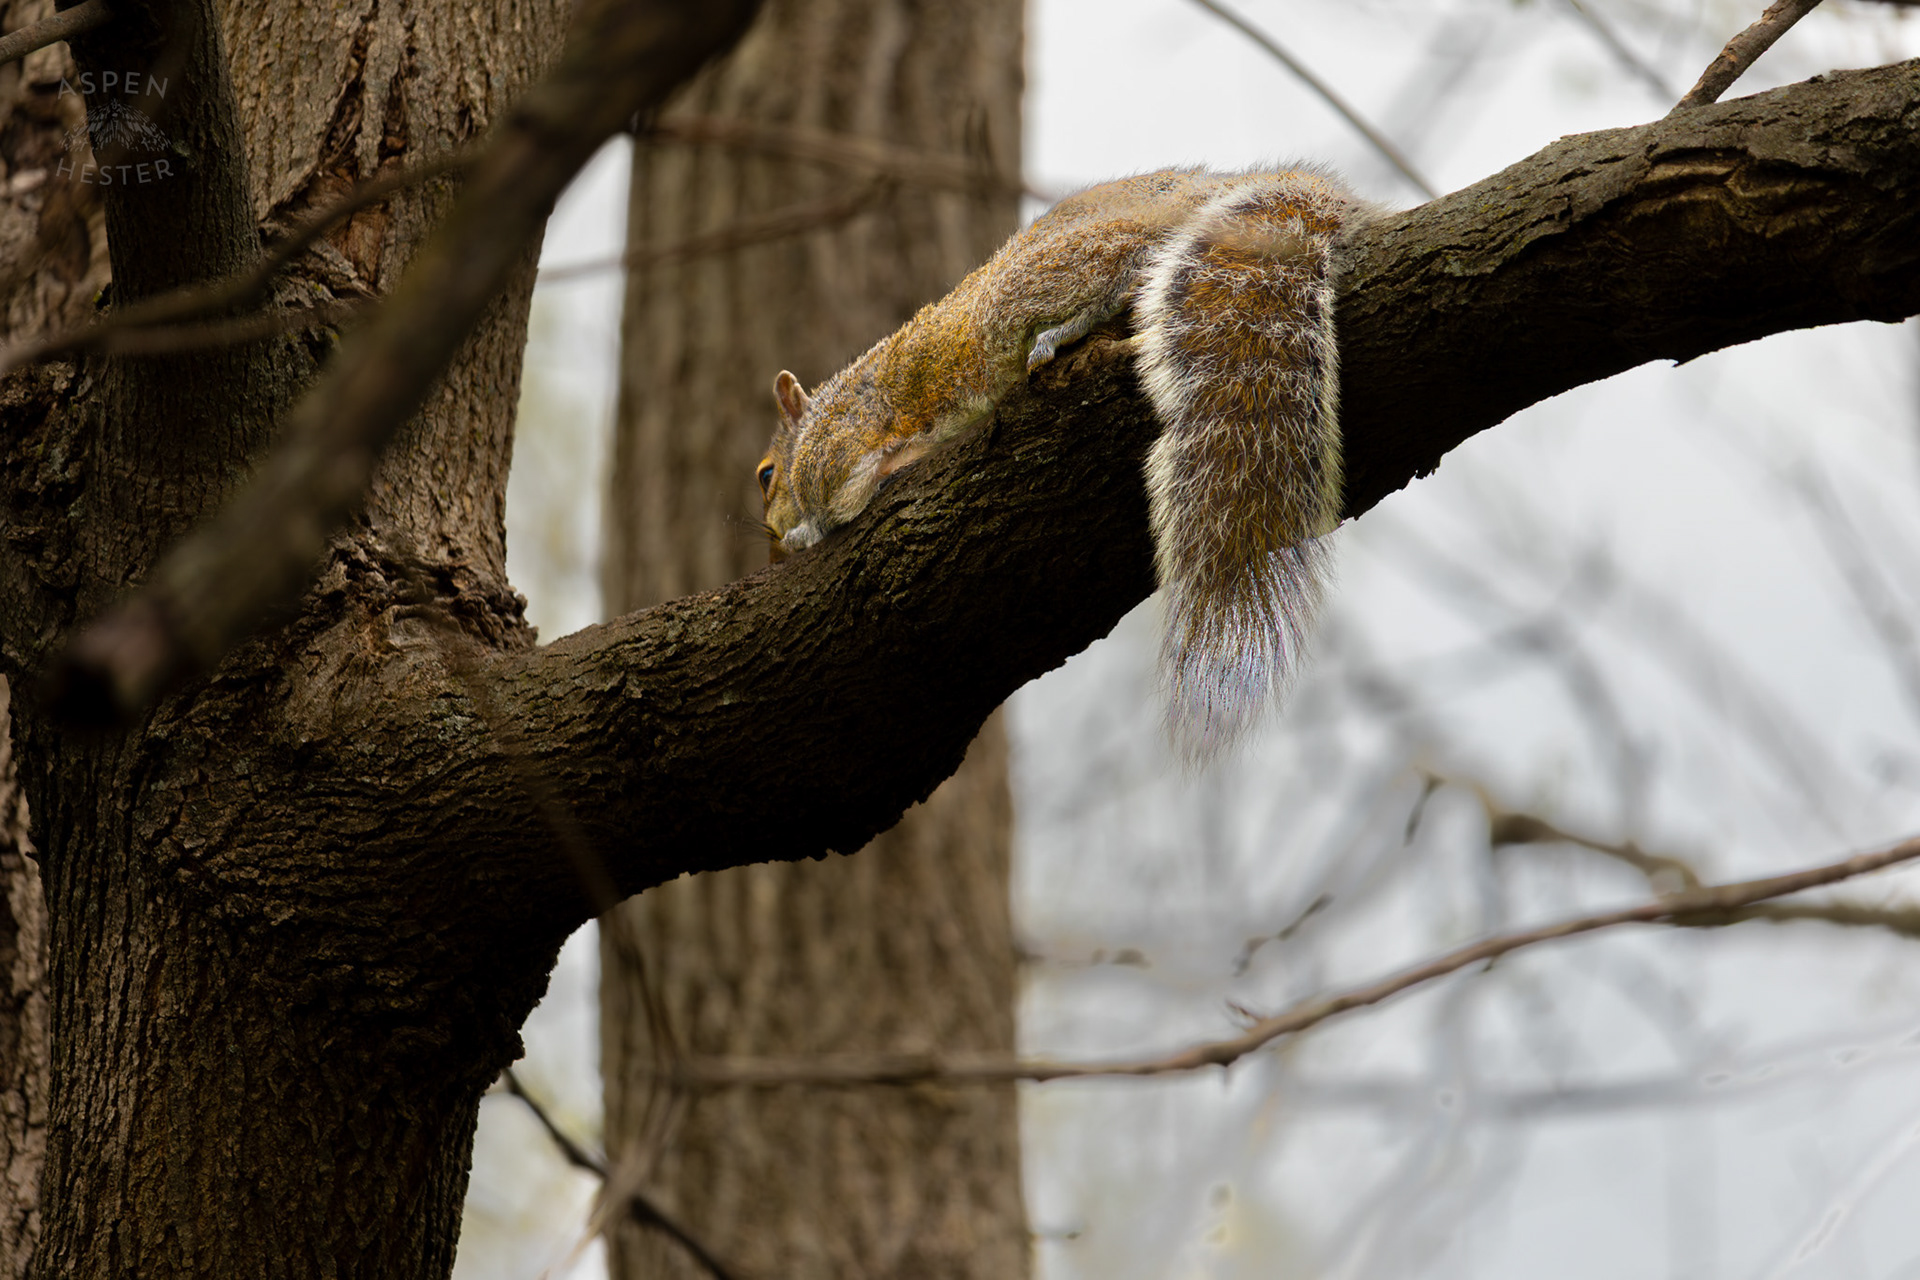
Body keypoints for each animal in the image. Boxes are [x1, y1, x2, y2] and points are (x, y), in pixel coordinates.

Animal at [755, 167, 1370, 759]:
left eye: (765, 476)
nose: (772, 540)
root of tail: (1207, 189)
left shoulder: (835, 446)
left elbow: (843, 498)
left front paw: (808, 532)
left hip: (1032, 285)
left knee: (1128, 261)